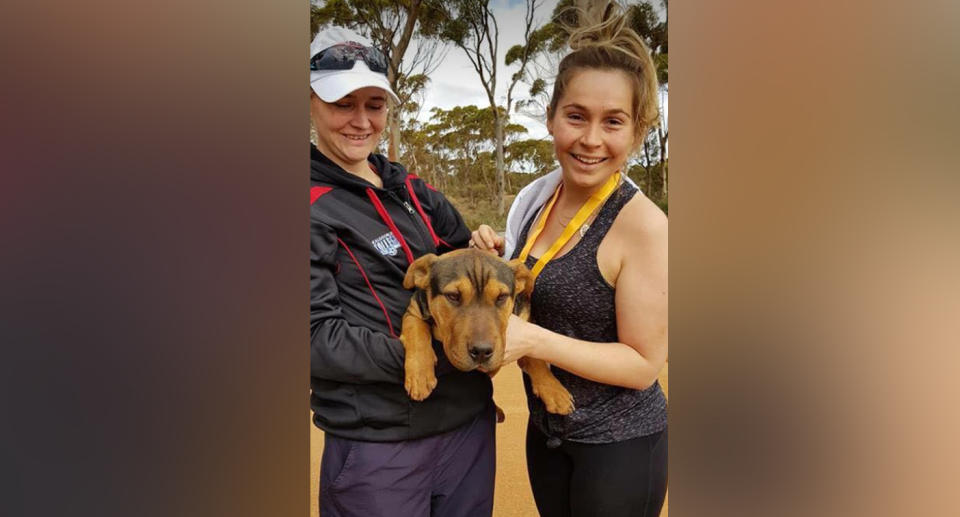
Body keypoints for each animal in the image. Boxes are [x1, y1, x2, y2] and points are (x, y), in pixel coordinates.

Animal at [402, 247, 572, 416]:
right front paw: (420, 375)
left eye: (502, 297)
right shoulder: (413, 311)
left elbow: (535, 358)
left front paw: (554, 390)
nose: (481, 352)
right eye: (453, 296)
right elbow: (416, 332)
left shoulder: (525, 318)